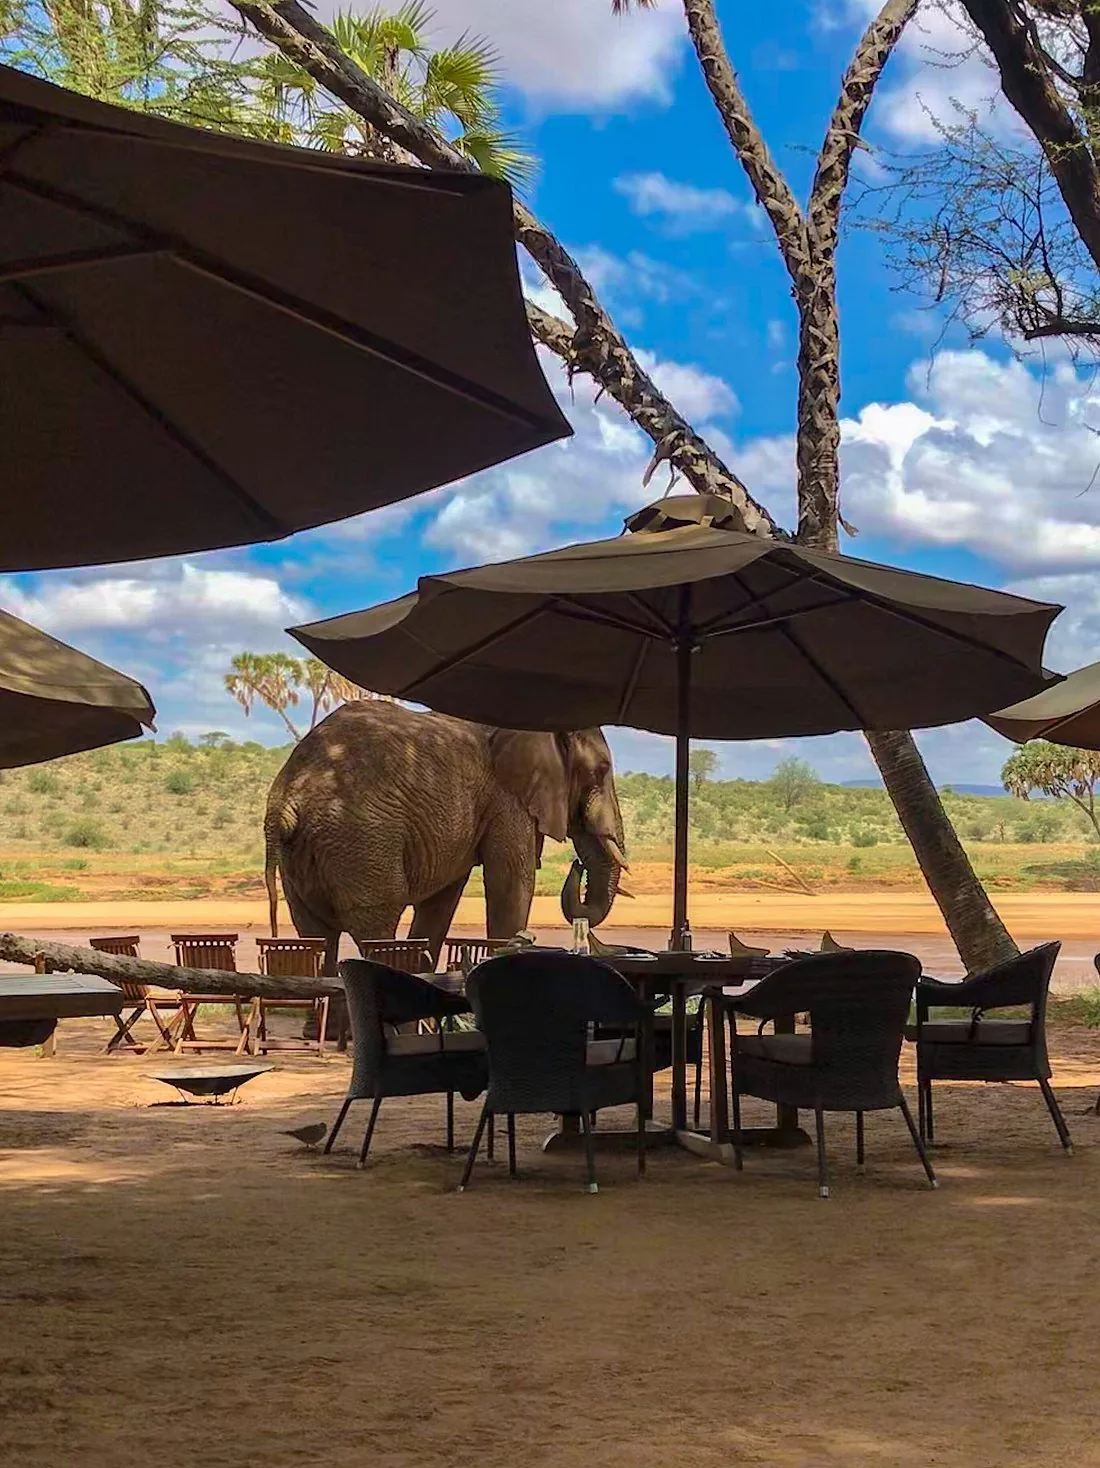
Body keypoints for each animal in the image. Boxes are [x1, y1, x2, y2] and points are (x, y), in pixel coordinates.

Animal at [263, 700, 628, 973]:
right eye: (600, 771)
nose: (577, 864)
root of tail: (286, 799)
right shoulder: (507, 797)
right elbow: (511, 880)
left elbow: (443, 897)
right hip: (360, 836)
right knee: (375, 924)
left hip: (305, 853)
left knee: (315, 933)